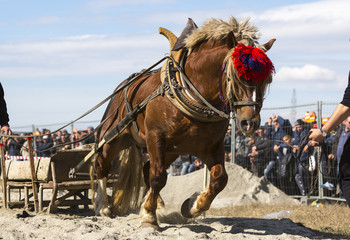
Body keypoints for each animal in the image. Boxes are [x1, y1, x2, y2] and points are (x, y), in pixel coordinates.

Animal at [92, 17, 276, 229]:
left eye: (267, 80)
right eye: (238, 75)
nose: (249, 123)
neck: (192, 93)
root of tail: (124, 86)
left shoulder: (211, 146)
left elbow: (220, 178)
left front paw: (192, 206)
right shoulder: (155, 138)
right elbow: (158, 177)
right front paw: (149, 216)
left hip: (172, 151)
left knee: (146, 169)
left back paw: (156, 204)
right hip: (114, 137)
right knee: (102, 166)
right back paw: (103, 206)